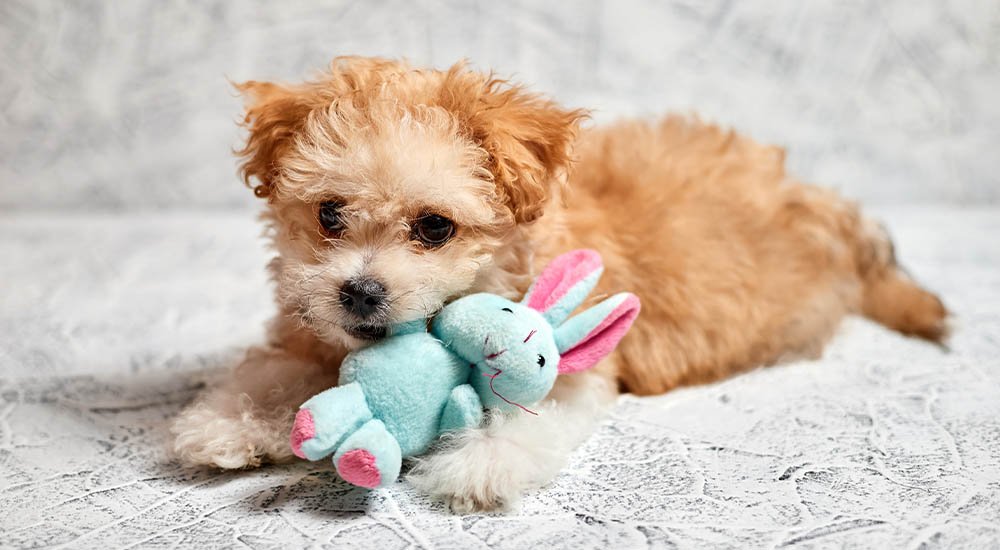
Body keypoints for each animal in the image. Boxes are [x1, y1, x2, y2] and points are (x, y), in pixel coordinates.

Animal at [170, 56, 944, 512]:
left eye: (434, 228)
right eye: (329, 215)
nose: (359, 293)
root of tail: (832, 212)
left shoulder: (578, 360)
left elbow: (532, 409)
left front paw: (478, 464)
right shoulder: (308, 331)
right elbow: (273, 367)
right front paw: (227, 421)